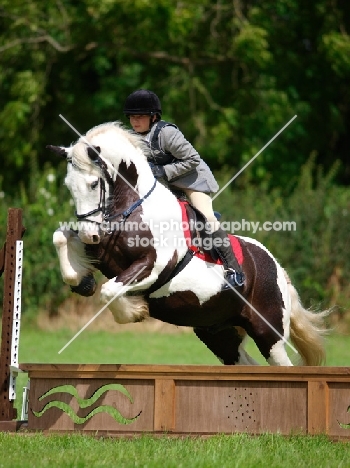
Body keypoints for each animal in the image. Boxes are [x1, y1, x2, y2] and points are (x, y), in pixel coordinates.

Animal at [47, 122, 330, 368]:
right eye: (68, 186)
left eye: (94, 184)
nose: (89, 235)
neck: (133, 207)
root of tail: (278, 269)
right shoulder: (102, 251)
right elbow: (61, 237)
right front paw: (83, 281)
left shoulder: (154, 266)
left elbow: (109, 290)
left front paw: (134, 311)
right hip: (218, 332)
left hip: (268, 333)